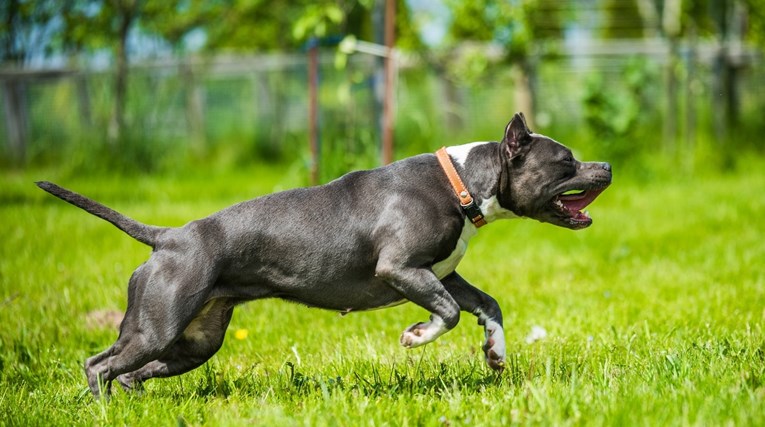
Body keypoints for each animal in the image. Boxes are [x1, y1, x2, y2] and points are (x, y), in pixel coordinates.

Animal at [35, 113, 612, 398]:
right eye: (566, 162)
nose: (605, 166)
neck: (462, 184)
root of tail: (169, 237)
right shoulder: (402, 269)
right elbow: (446, 313)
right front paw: (415, 336)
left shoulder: (443, 273)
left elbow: (487, 305)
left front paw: (495, 352)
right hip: (156, 325)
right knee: (98, 364)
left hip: (194, 341)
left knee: (131, 372)